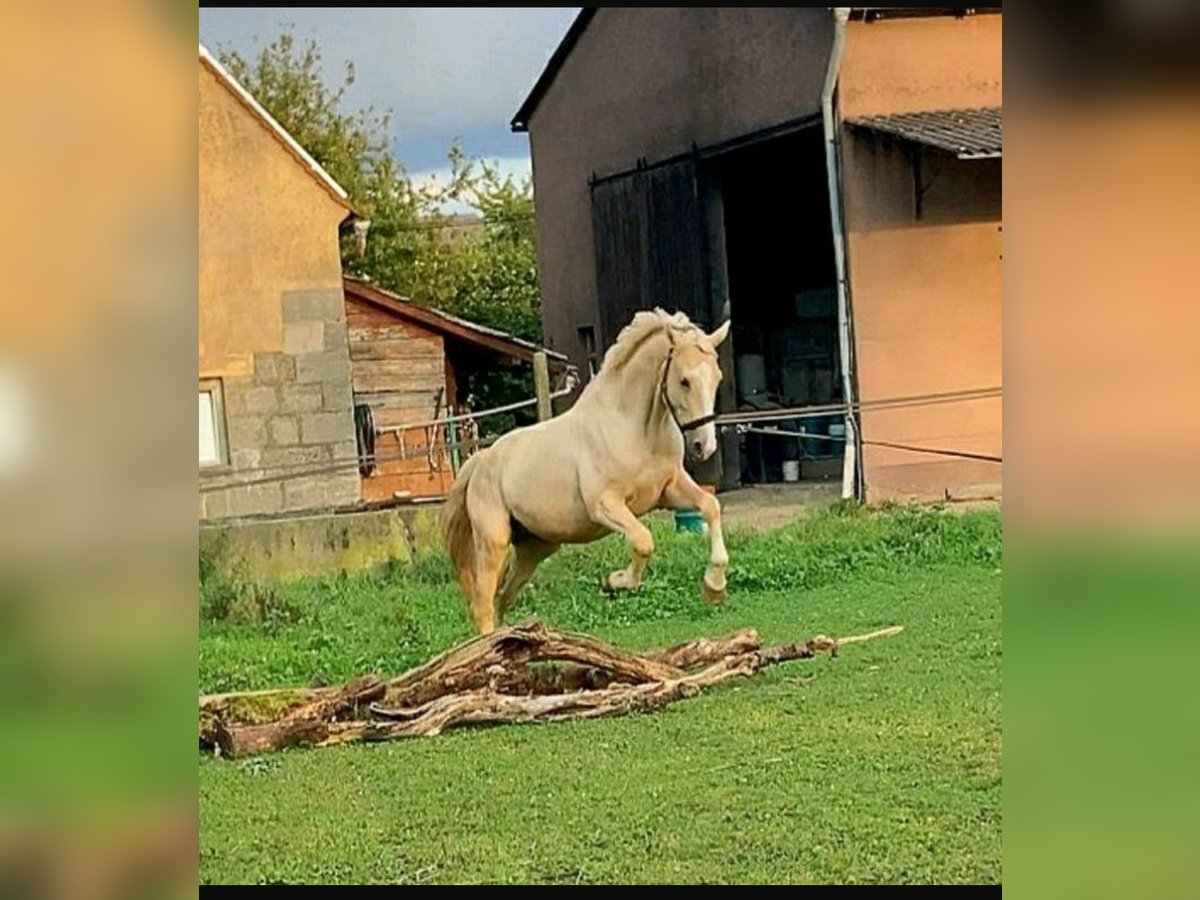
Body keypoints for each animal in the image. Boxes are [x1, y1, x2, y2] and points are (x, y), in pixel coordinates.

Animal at [439, 309, 724, 633]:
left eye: (717, 378)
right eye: (684, 380)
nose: (704, 446)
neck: (634, 427)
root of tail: (481, 460)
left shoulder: (669, 491)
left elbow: (710, 506)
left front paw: (714, 587)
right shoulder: (604, 505)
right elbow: (643, 541)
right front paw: (615, 581)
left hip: (535, 548)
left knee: (501, 600)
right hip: (493, 542)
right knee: (483, 606)